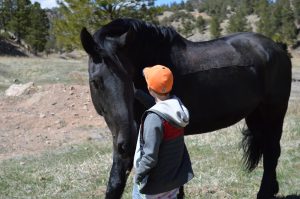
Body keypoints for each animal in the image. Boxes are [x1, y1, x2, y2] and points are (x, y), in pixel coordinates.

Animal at [79, 17, 290, 198]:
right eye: (95, 81)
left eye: (129, 79)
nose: (127, 141)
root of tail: (277, 47)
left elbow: (117, 180)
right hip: (256, 115)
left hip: (274, 112)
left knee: (272, 151)